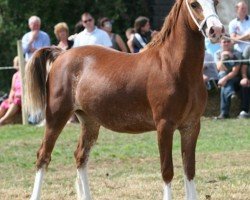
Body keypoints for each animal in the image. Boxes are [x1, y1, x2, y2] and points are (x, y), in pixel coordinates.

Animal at [25, 0, 225, 199]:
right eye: (194, 4)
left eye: (215, 3)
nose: (216, 30)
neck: (172, 67)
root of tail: (61, 54)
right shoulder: (164, 126)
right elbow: (167, 171)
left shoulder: (191, 126)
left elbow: (189, 170)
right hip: (56, 117)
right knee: (43, 156)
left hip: (89, 121)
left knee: (80, 157)